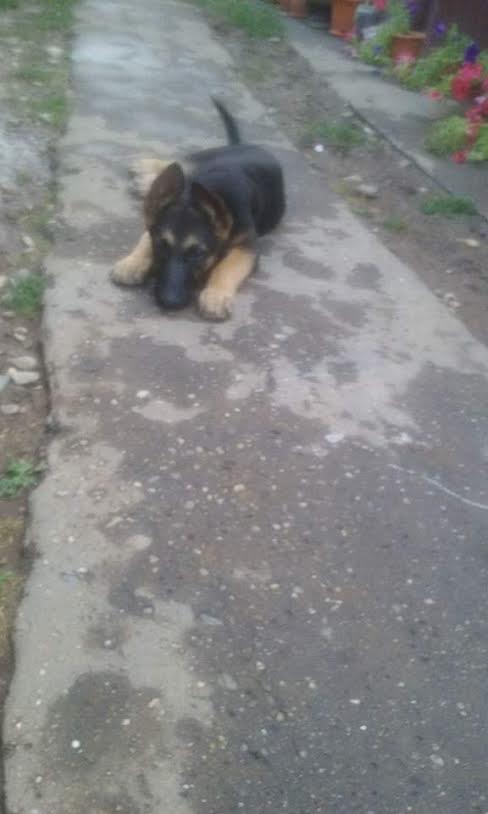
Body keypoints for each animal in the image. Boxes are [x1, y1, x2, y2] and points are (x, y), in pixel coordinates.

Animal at [111, 99, 285, 320]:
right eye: (161, 246)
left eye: (197, 254)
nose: (168, 302)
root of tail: (241, 146)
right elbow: (144, 240)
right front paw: (132, 263)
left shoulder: (247, 247)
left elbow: (227, 267)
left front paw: (216, 295)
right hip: (197, 160)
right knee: (176, 162)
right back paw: (145, 169)